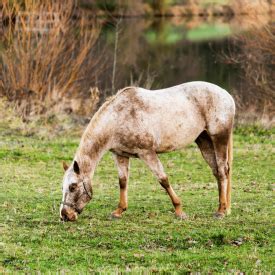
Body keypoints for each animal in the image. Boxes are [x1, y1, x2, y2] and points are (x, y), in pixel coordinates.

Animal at [61, 81, 236, 222]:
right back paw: (224, 208)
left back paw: (221, 211)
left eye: (73, 187)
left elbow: (163, 180)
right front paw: (119, 211)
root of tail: (227, 96)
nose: (65, 215)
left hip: (219, 138)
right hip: (204, 141)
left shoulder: (147, 153)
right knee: (217, 172)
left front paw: (179, 211)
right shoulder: (120, 155)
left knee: (222, 171)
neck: (118, 118)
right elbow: (123, 182)